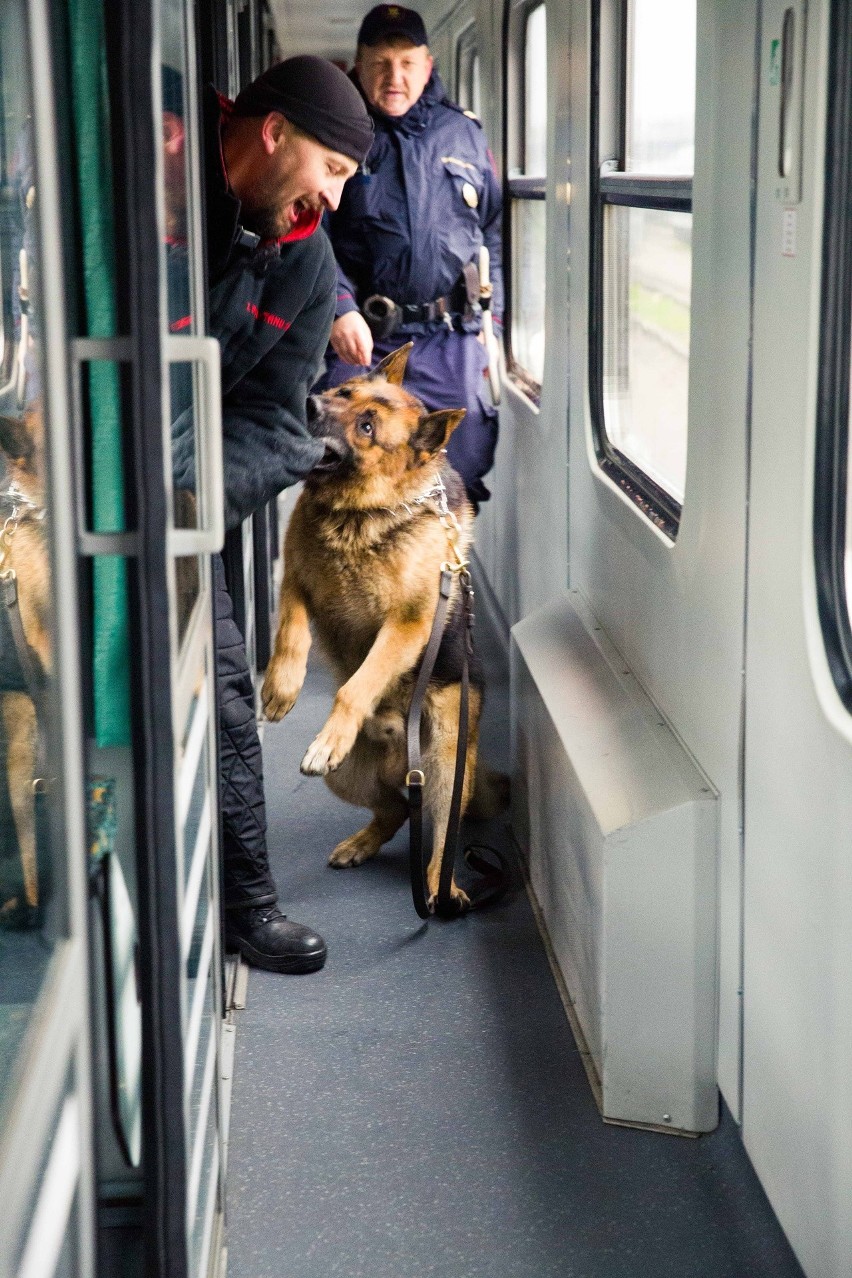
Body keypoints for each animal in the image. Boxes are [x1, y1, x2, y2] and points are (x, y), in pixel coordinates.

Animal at [260, 345, 500, 915]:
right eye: (345, 393)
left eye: (367, 427)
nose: (308, 402)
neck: (360, 512)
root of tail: (401, 758)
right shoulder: (298, 580)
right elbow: (291, 636)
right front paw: (281, 689)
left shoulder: (406, 625)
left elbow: (356, 685)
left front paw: (331, 727)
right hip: (348, 777)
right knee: (394, 812)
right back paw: (363, 842)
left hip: (446, 772)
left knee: (439, 835)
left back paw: (440, 886)